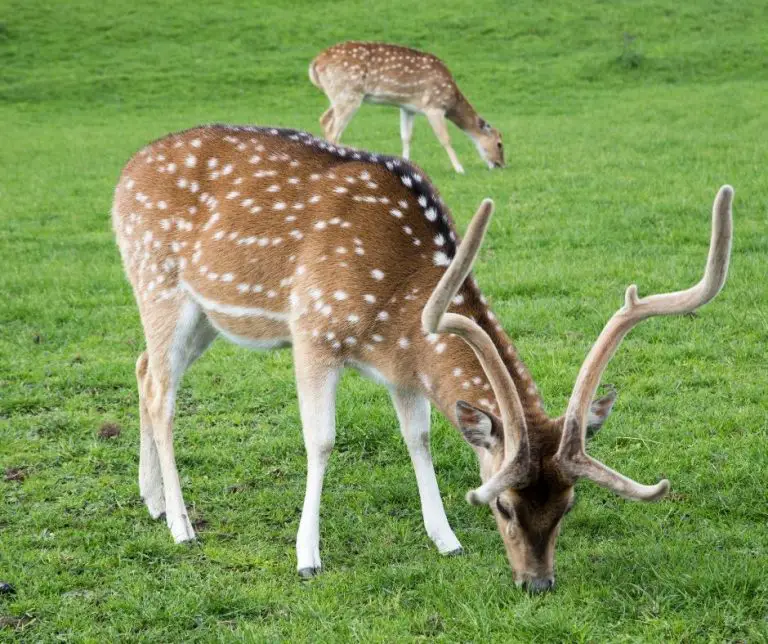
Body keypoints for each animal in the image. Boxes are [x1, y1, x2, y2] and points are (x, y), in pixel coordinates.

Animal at [112, 123, 733, 592]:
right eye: (503, 508)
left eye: (568, 505)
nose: (537, 582)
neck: (401, 297)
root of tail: (122, 177)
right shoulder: (313, 330)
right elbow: (322, 441)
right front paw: (307, 557)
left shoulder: (403, 368)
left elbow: (420, 438)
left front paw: (446, 540)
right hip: (158, 283)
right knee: (163, 396)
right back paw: (182, 526)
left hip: (206, 318)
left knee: (143, 370)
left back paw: (153, 501)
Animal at [309, 41, 504, 174]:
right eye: (499, 144)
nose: (501, 164)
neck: (451, 100)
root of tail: (315, 63)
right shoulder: (433, 106)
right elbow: (445, 138)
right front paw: (459, 168)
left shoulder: (407, 108)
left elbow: (406, 136)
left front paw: (406, 164)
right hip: (348, 93)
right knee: (333, 129)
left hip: (338, 94)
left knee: (324, 119)